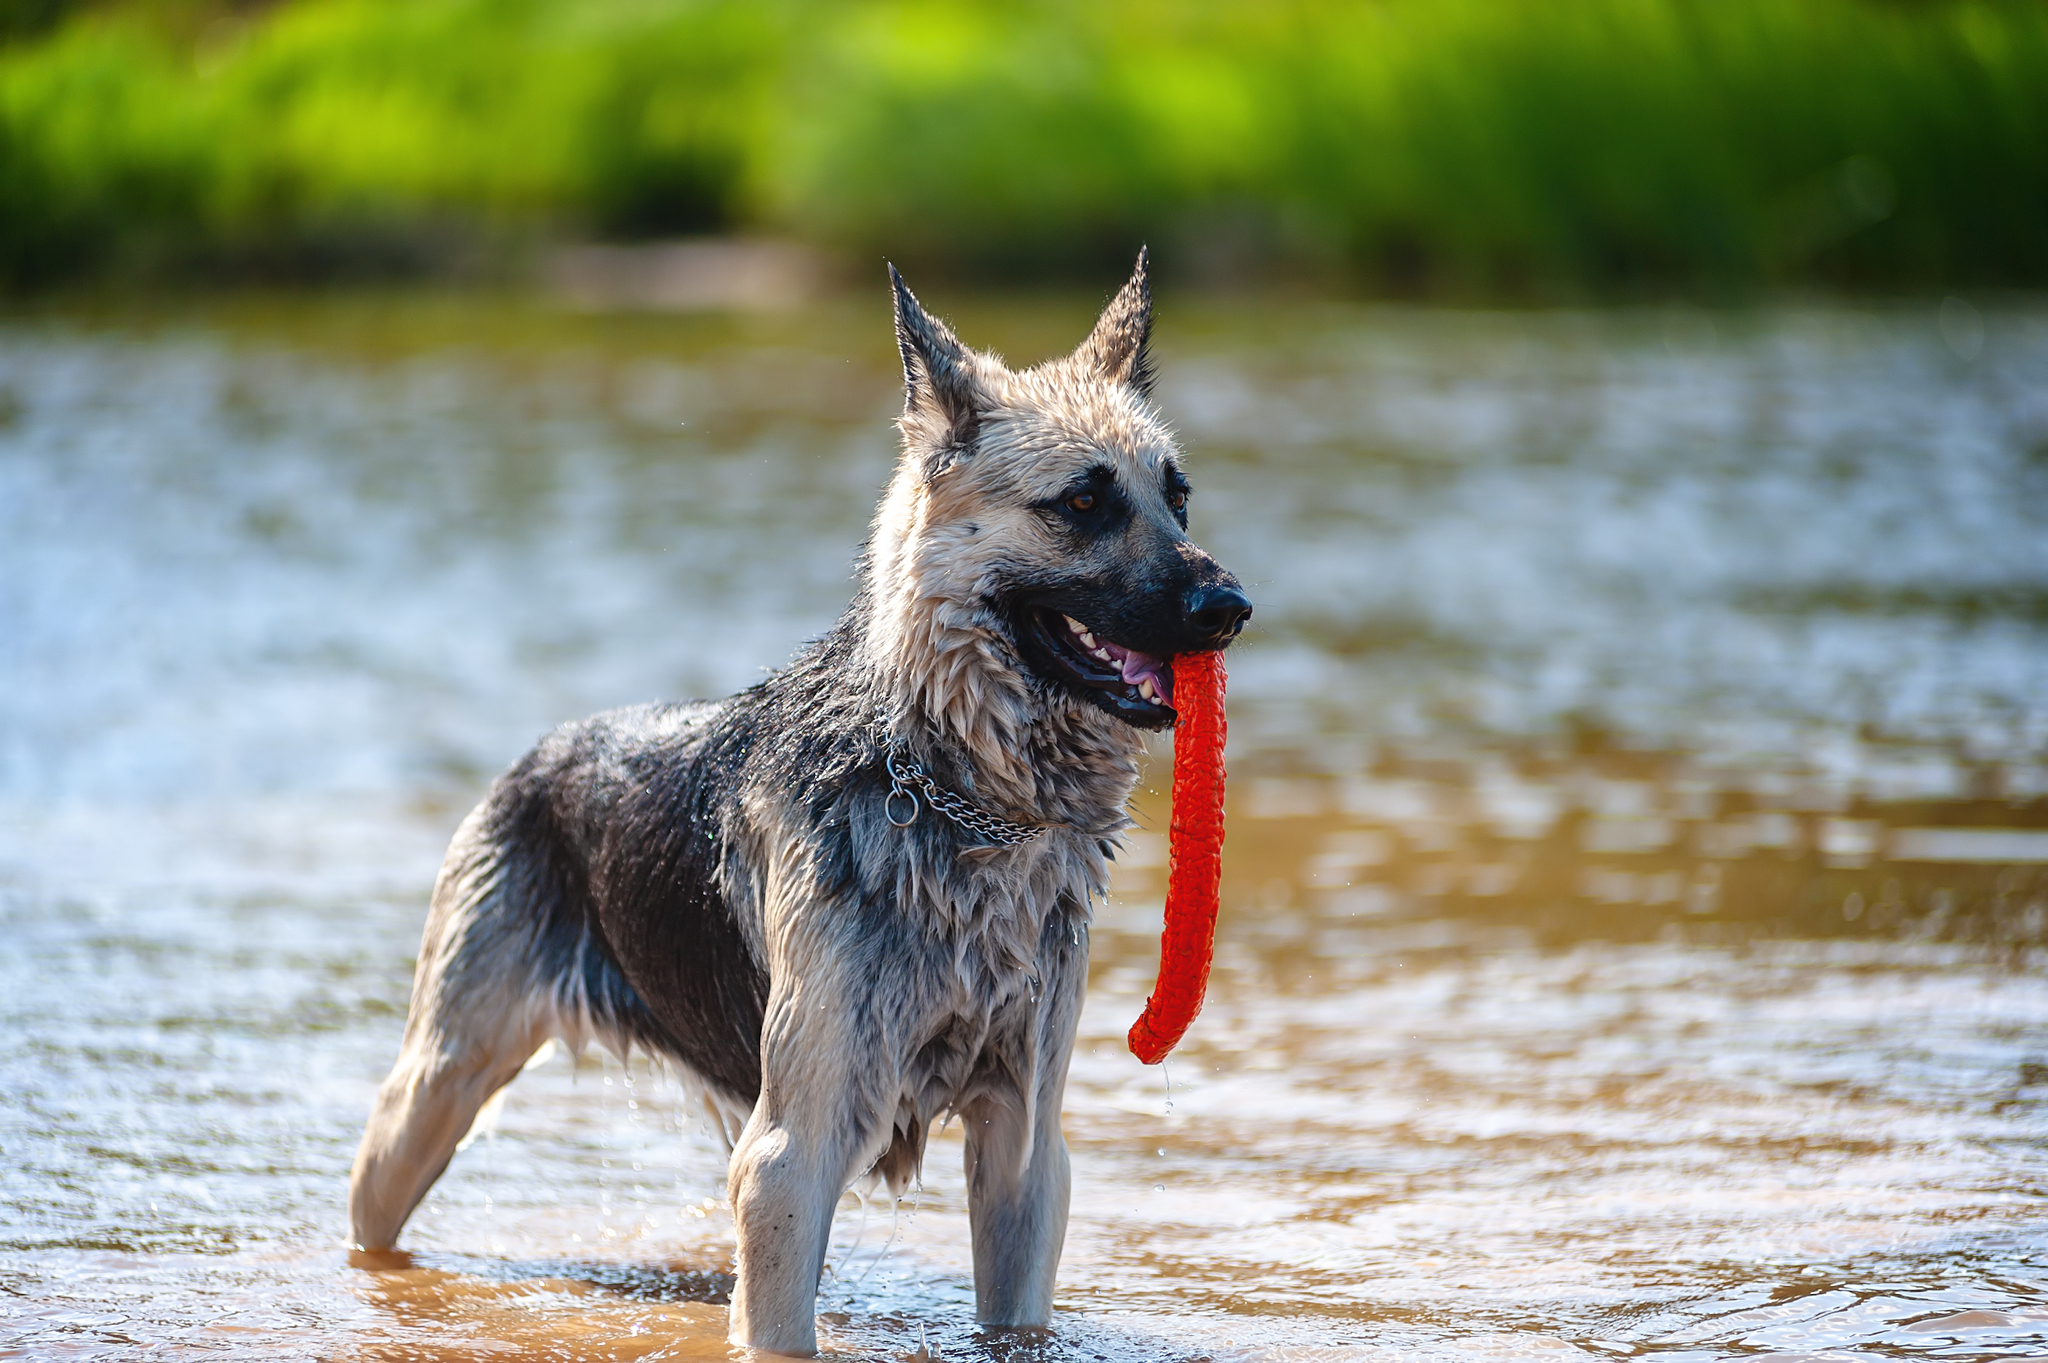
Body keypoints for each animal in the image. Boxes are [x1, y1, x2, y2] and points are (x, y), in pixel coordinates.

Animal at [344, 251, 1253, 1350]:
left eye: (1178, 500)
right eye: (1082, 503)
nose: (1231, 610)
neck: (947, 782)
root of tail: (545, 747)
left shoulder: (1023, 1153)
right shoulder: (794, 1154)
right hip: (434, 1093)